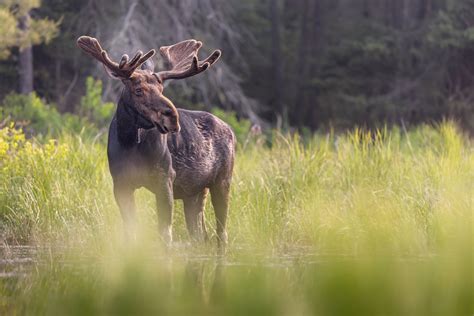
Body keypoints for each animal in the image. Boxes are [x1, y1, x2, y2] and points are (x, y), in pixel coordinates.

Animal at [77, 35, 236, 248]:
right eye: (138, 90)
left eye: (161, 89)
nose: (172, 117)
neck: (129, 144)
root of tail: (231, 131)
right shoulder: (120, 183)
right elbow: (130, 233)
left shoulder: (165, 179)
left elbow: (165, 235)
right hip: (194, 192)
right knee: (200, 236)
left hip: (222, 181)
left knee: (222, 234)